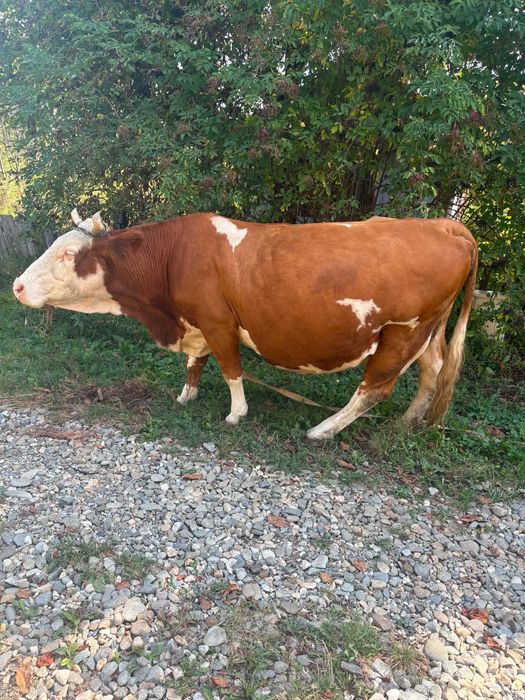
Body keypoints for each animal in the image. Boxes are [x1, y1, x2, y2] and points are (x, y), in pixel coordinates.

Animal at [13, 209, 478, 440]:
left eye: (68, 254)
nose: (16, 285)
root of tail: (445, 225)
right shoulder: (196, 323)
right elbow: (195, 364)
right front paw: (186, 396)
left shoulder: (218, 321)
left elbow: (230, 368)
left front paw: (236, 414)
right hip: (426, 332)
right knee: (432, 372)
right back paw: (407, 423)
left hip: (402, 331)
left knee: (375, 388)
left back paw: (322, 430)